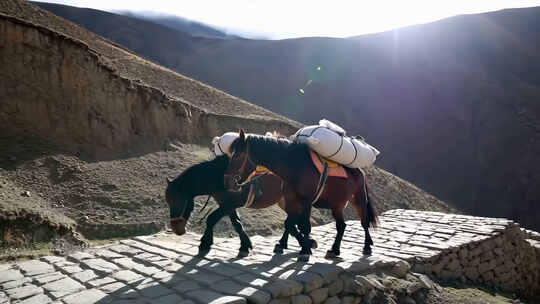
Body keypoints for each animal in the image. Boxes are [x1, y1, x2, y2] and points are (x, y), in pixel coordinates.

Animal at [223, 129, 376, 260]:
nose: (228, 180)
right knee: (341, 226)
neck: (294, 167)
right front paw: (302, 245)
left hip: (359, 198)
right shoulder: (291, 200)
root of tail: (359, 171)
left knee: (364, 221)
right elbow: (290, 224)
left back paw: (367, 246)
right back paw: (334, 250)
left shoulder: (306, 201)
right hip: (337, 205)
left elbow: (304, 226)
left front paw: (305, 250)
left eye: (238, 155)